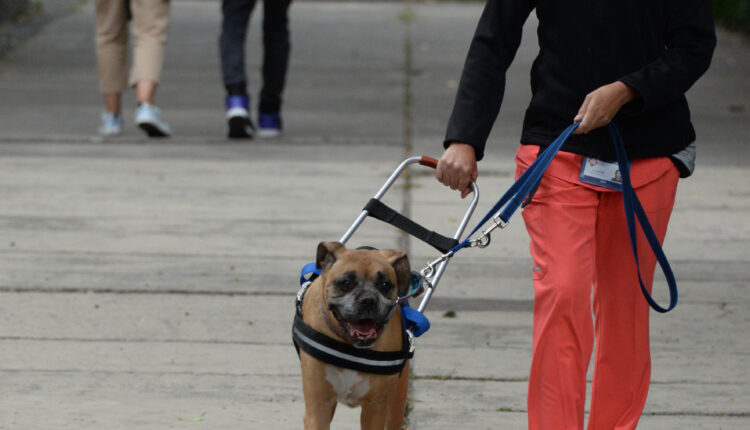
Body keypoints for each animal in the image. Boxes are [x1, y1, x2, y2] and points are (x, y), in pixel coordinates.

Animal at [298, 242, 412, 430]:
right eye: (346, 283)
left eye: (385, 284)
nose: (368, 300)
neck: (349, 345)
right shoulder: (318, 408)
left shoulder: (375, 410)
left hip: (396, 405)